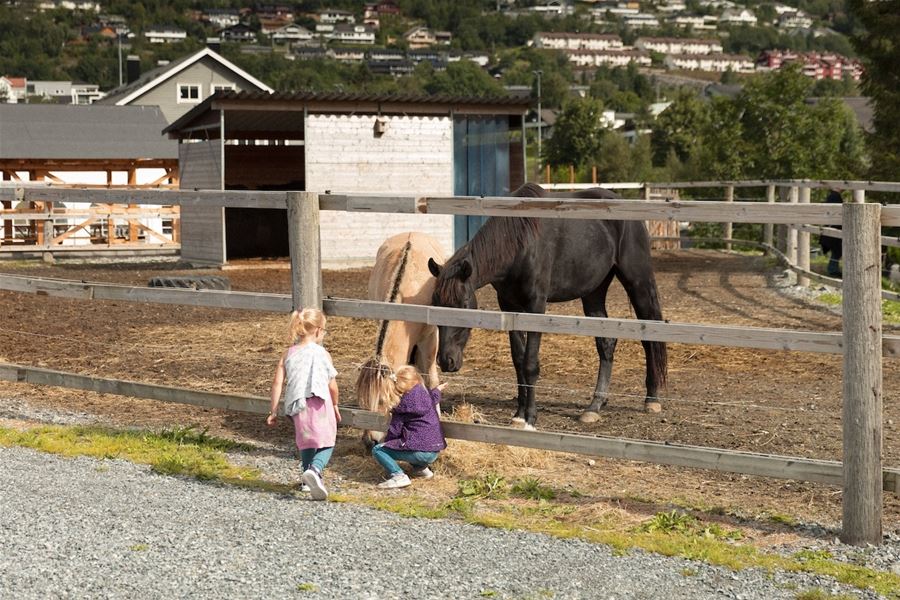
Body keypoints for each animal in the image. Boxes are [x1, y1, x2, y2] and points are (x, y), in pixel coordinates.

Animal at [427, 182, 667, 429]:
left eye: (464, 303)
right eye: (435, 303)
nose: (446, 361)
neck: (519, 243)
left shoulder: (536, 306)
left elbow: (530, 364)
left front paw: (530, 417)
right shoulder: (509, 306)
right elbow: (518, 360)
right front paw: (519, 413)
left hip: (638, 283)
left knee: (650, 337)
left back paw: (652, 399)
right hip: (594, 293)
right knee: (606, 343)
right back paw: (595, 406)